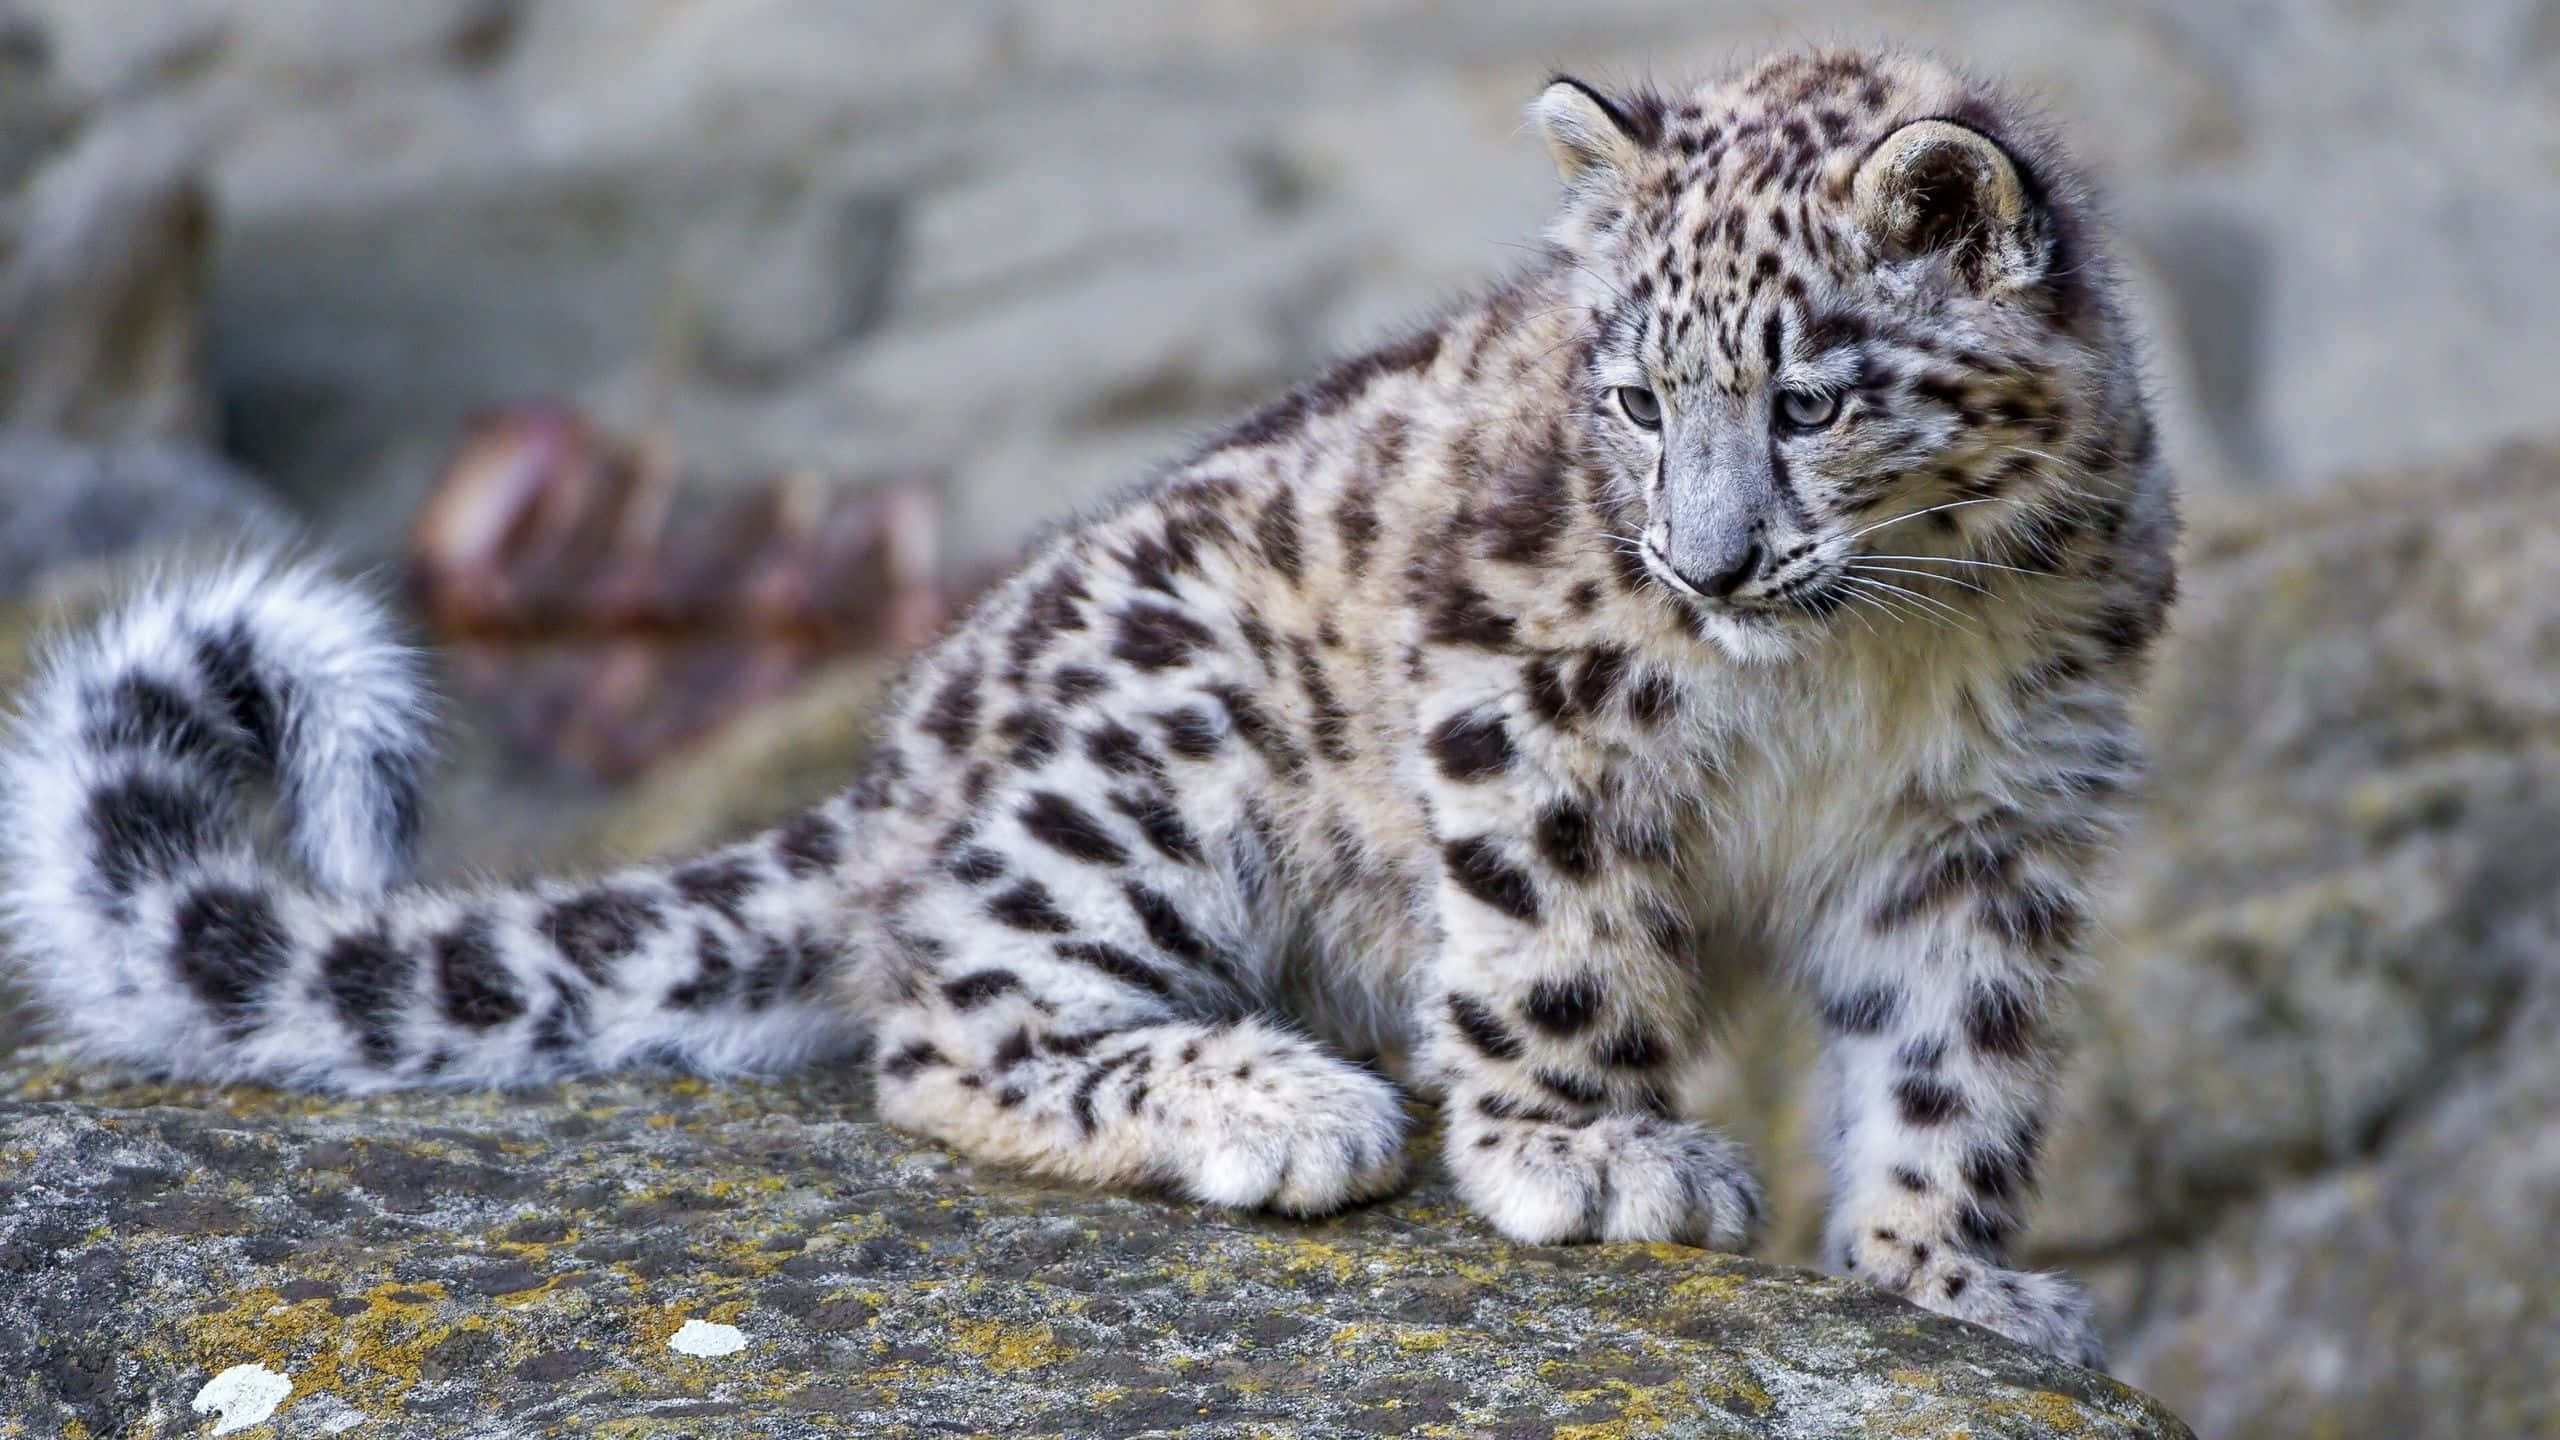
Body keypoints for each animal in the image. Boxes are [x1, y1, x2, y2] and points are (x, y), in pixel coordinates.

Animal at [1, 47, 2174, 1369]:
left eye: (1807, 398)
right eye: (1636, 396)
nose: (1706, 565)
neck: (1865, 662)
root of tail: (895, 766)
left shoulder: (1992, 826)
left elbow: (1952, 1063)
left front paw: (1951, 1278)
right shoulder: (1520, 690)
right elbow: (1554, 944)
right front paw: (1589, 1150)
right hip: (1154, 751)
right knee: (947, 1032)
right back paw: (1283, 1102)